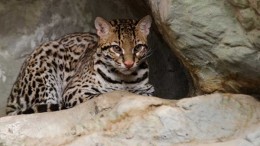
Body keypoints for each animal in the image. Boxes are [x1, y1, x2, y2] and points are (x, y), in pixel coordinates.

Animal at [6, 14, 153, 115]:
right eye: (116, 48)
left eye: (138, 48)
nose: (129, 64)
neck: (124, 79)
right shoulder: (74, 90)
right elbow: (98, 96)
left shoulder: (148, 88)